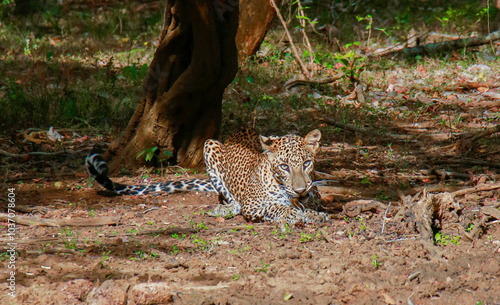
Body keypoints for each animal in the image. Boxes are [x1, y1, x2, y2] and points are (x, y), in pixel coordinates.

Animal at [85, 127, 328, 223]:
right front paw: (292, 213)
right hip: (209, 145)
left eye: (307, 163)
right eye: (284, 166)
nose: (300, 189)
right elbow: (276, 207)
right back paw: (223, 209)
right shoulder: (253, 205)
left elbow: (309, 206)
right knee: (229, 200)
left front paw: (313, 214)